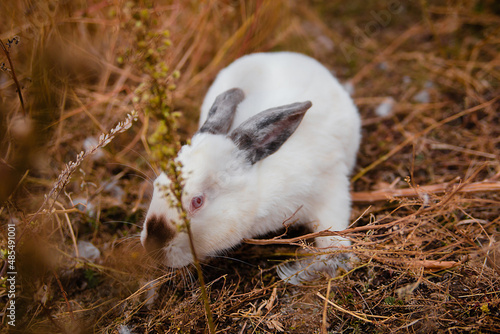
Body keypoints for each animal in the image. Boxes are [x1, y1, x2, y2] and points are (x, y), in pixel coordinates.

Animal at [140, 52, 360, 284]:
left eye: (197, 201)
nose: (152, 247)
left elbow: (333, 231)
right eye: (157, 183)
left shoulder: (329, 188)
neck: (258, 191)